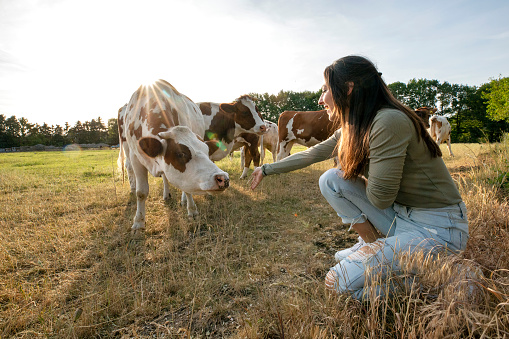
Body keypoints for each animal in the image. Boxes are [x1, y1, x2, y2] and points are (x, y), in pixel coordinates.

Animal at [117, 79, 228, 231]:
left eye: (206, 151)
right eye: (181, 154)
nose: (223, 178)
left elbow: (186, 189)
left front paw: (192, 211)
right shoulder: (135, 157)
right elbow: (141, 192)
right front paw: (138, 223)